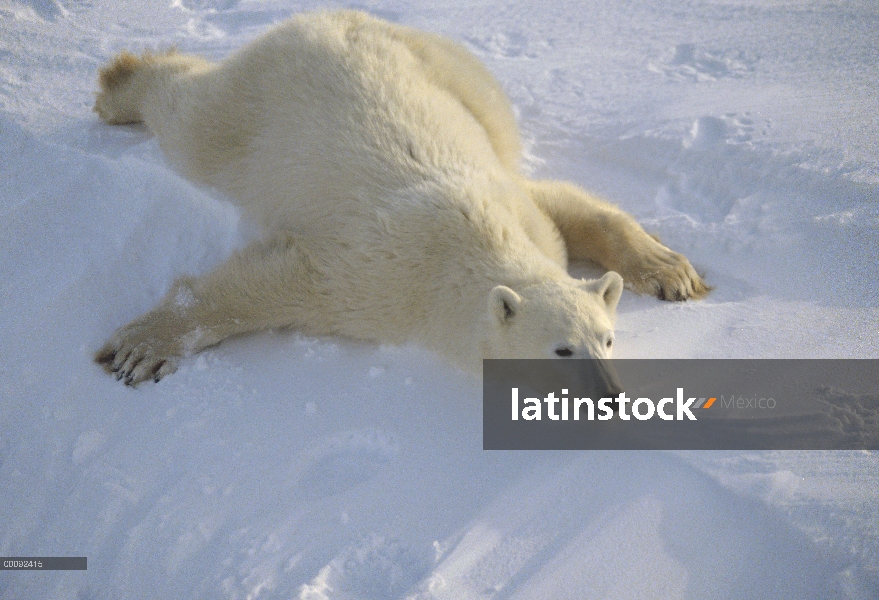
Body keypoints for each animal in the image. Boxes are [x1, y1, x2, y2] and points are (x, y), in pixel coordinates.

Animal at [93, 10, 708, 384]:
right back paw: (122, 84)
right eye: (561, 349)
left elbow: (568, 206)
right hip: (254, 106)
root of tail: (324, 17)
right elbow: (280, 283)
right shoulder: (379, 277)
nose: (607, 397)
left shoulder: (516, 203)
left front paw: (674, 274)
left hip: (452, 73)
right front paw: (138, 349)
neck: (472, 244)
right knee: (192, 119)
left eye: (607, 338)